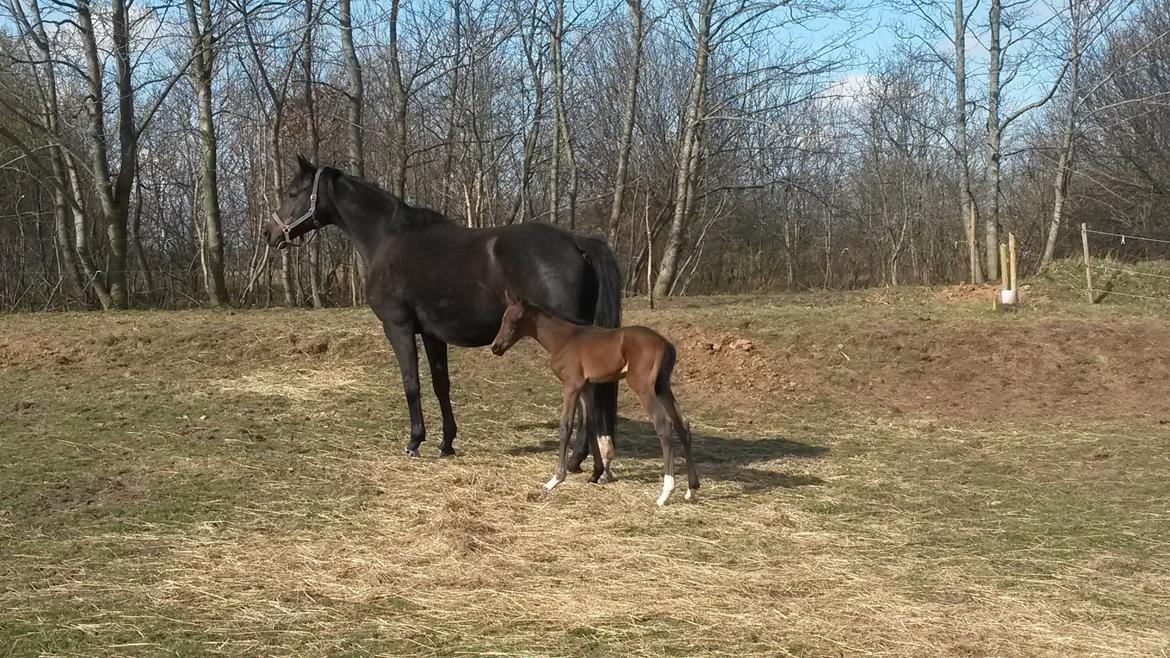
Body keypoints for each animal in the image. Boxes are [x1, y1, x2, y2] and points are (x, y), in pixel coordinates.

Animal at [260, 155, 617, 468]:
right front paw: (446, 443)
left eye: (292, 192)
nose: (269, 233)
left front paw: (414, 441)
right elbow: (440, 384)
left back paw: (576, 459)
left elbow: (411, 384)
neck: (387, 238)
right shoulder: (433, 335)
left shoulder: (399, 328)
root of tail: (576, 242)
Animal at [491, 297, 697, 501]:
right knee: (682, 424)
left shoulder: (571, 385)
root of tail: (667, 345)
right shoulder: (587, 387)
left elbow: (566, 427)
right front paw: (596, 473)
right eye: (502, 319)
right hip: (662, 387)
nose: (495, 347)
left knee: (663, 424)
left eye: (515, 320)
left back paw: (666, 492)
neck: (563, 339)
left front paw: (555, 480)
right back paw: (691, 489)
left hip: (644, 387)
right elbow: (590, 423)